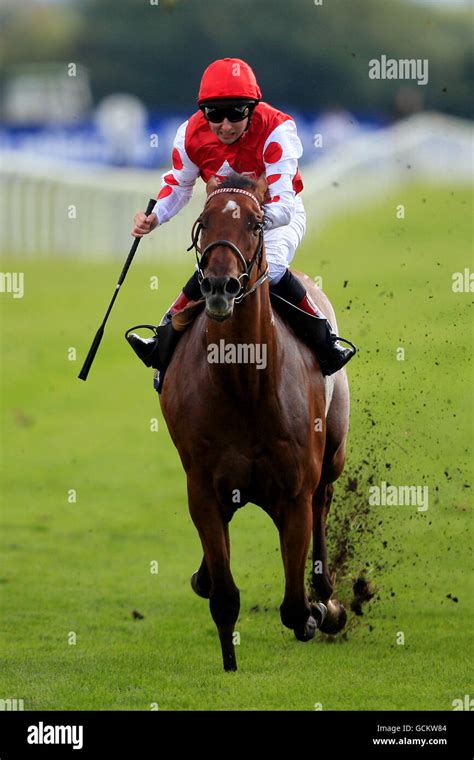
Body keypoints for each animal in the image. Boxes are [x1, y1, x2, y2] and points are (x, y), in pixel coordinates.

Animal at [161, 174, 350, 672]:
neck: (244, 383)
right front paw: (229, 663)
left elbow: (294, 608)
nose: (219, 286)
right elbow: (224, 597)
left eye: (254, 222)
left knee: (325, 500)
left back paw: (328, 596)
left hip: (334, 451)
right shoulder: (204, 490)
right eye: (203, 222)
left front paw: (318, 611)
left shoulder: (295, 492)